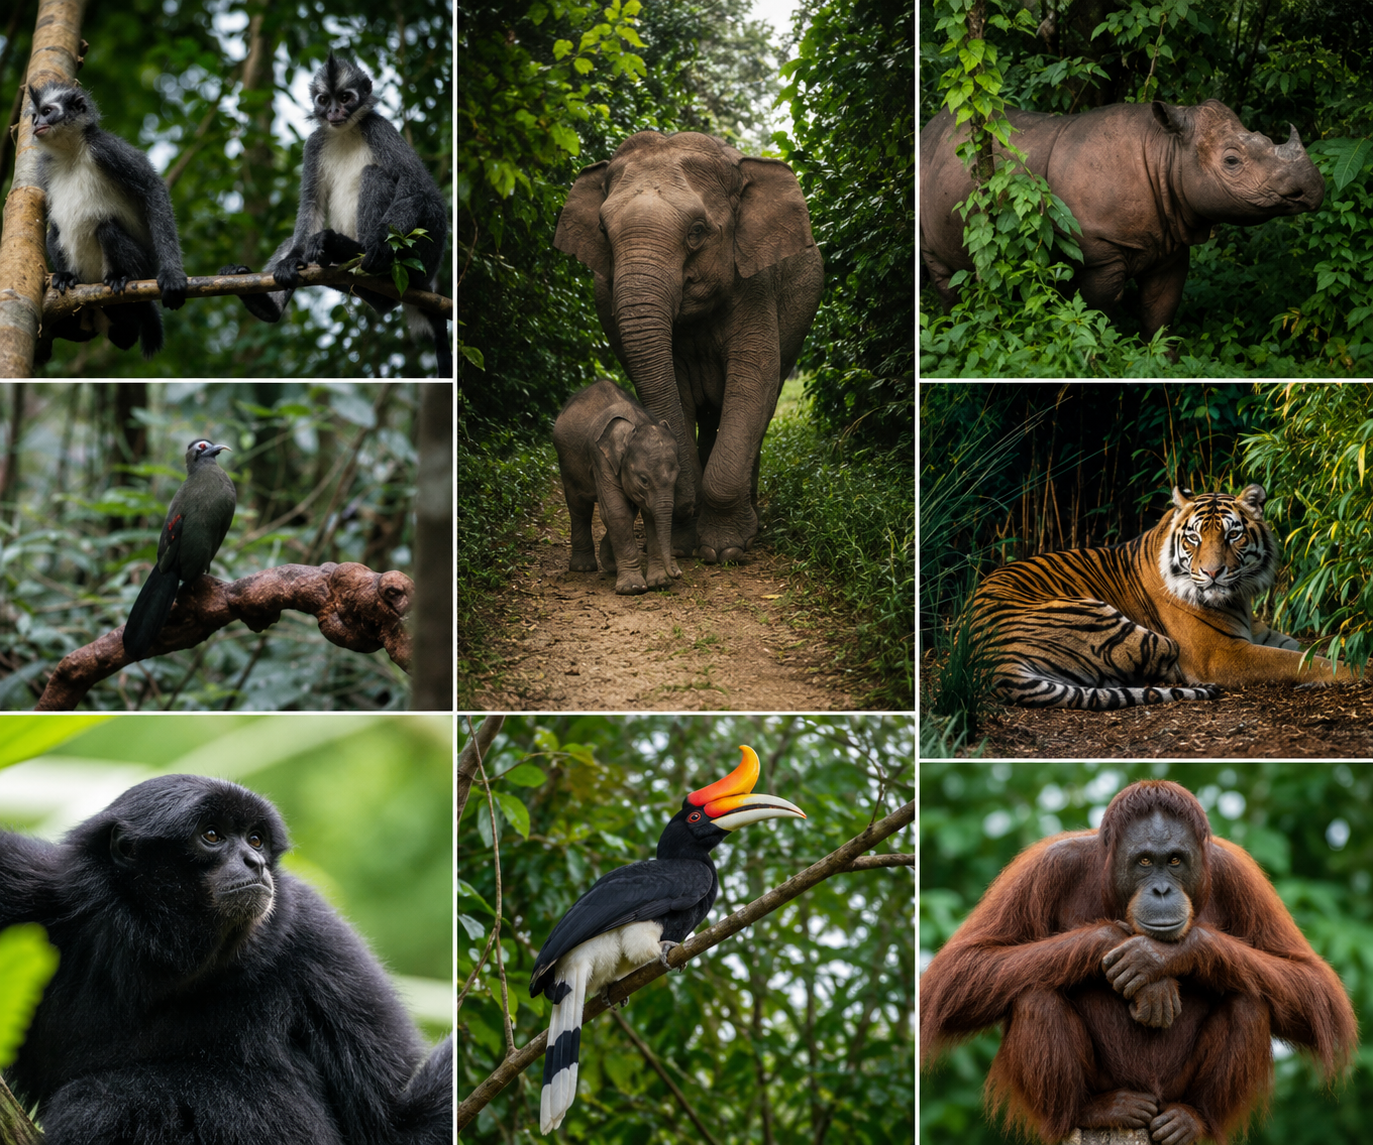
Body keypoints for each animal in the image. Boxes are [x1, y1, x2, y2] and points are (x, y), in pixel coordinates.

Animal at [29, 81, 188, 360]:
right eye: (34, 116)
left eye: (47, 111)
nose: (37, 123)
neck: (71, 152)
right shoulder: (44, 166)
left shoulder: (105, 147)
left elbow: (153, 188)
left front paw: (172, 274)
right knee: (55, 230)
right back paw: (68, 277)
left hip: (141, 265)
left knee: (106, 228)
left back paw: (120, 277)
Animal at [221, 54, 452, 377]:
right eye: (324, 100)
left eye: (345, 98)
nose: (333, 111)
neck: (344, 132)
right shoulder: (314, 143)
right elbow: (311, 205)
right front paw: (292, 261)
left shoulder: (378, 127)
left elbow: (420, 187)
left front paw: (377, 246)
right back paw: (268, 304)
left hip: (422, 256)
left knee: (389, 182)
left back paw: (353, 250)